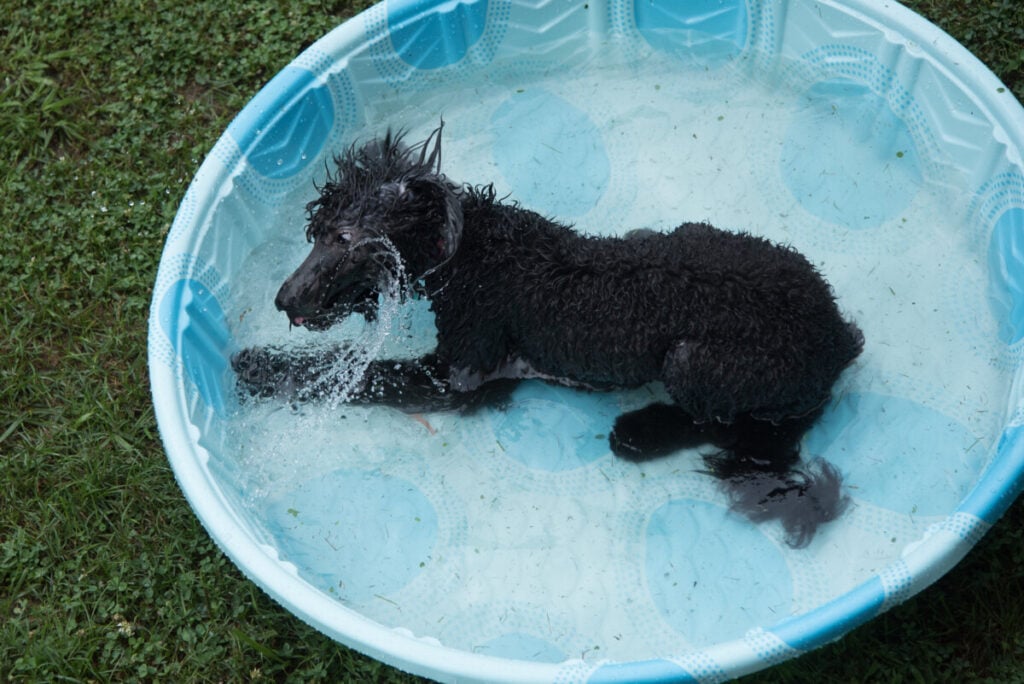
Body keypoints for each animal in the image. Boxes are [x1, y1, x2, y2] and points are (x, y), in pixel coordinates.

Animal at [234, 122, 864, 548]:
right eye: (317, 231)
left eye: (343, 239)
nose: (284, 301)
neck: (478, 253)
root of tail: (839, 337)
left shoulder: (459, 376)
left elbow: (361, 375)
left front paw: (257, 368)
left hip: (696, 361)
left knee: (718, 420)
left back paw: (640, 432)